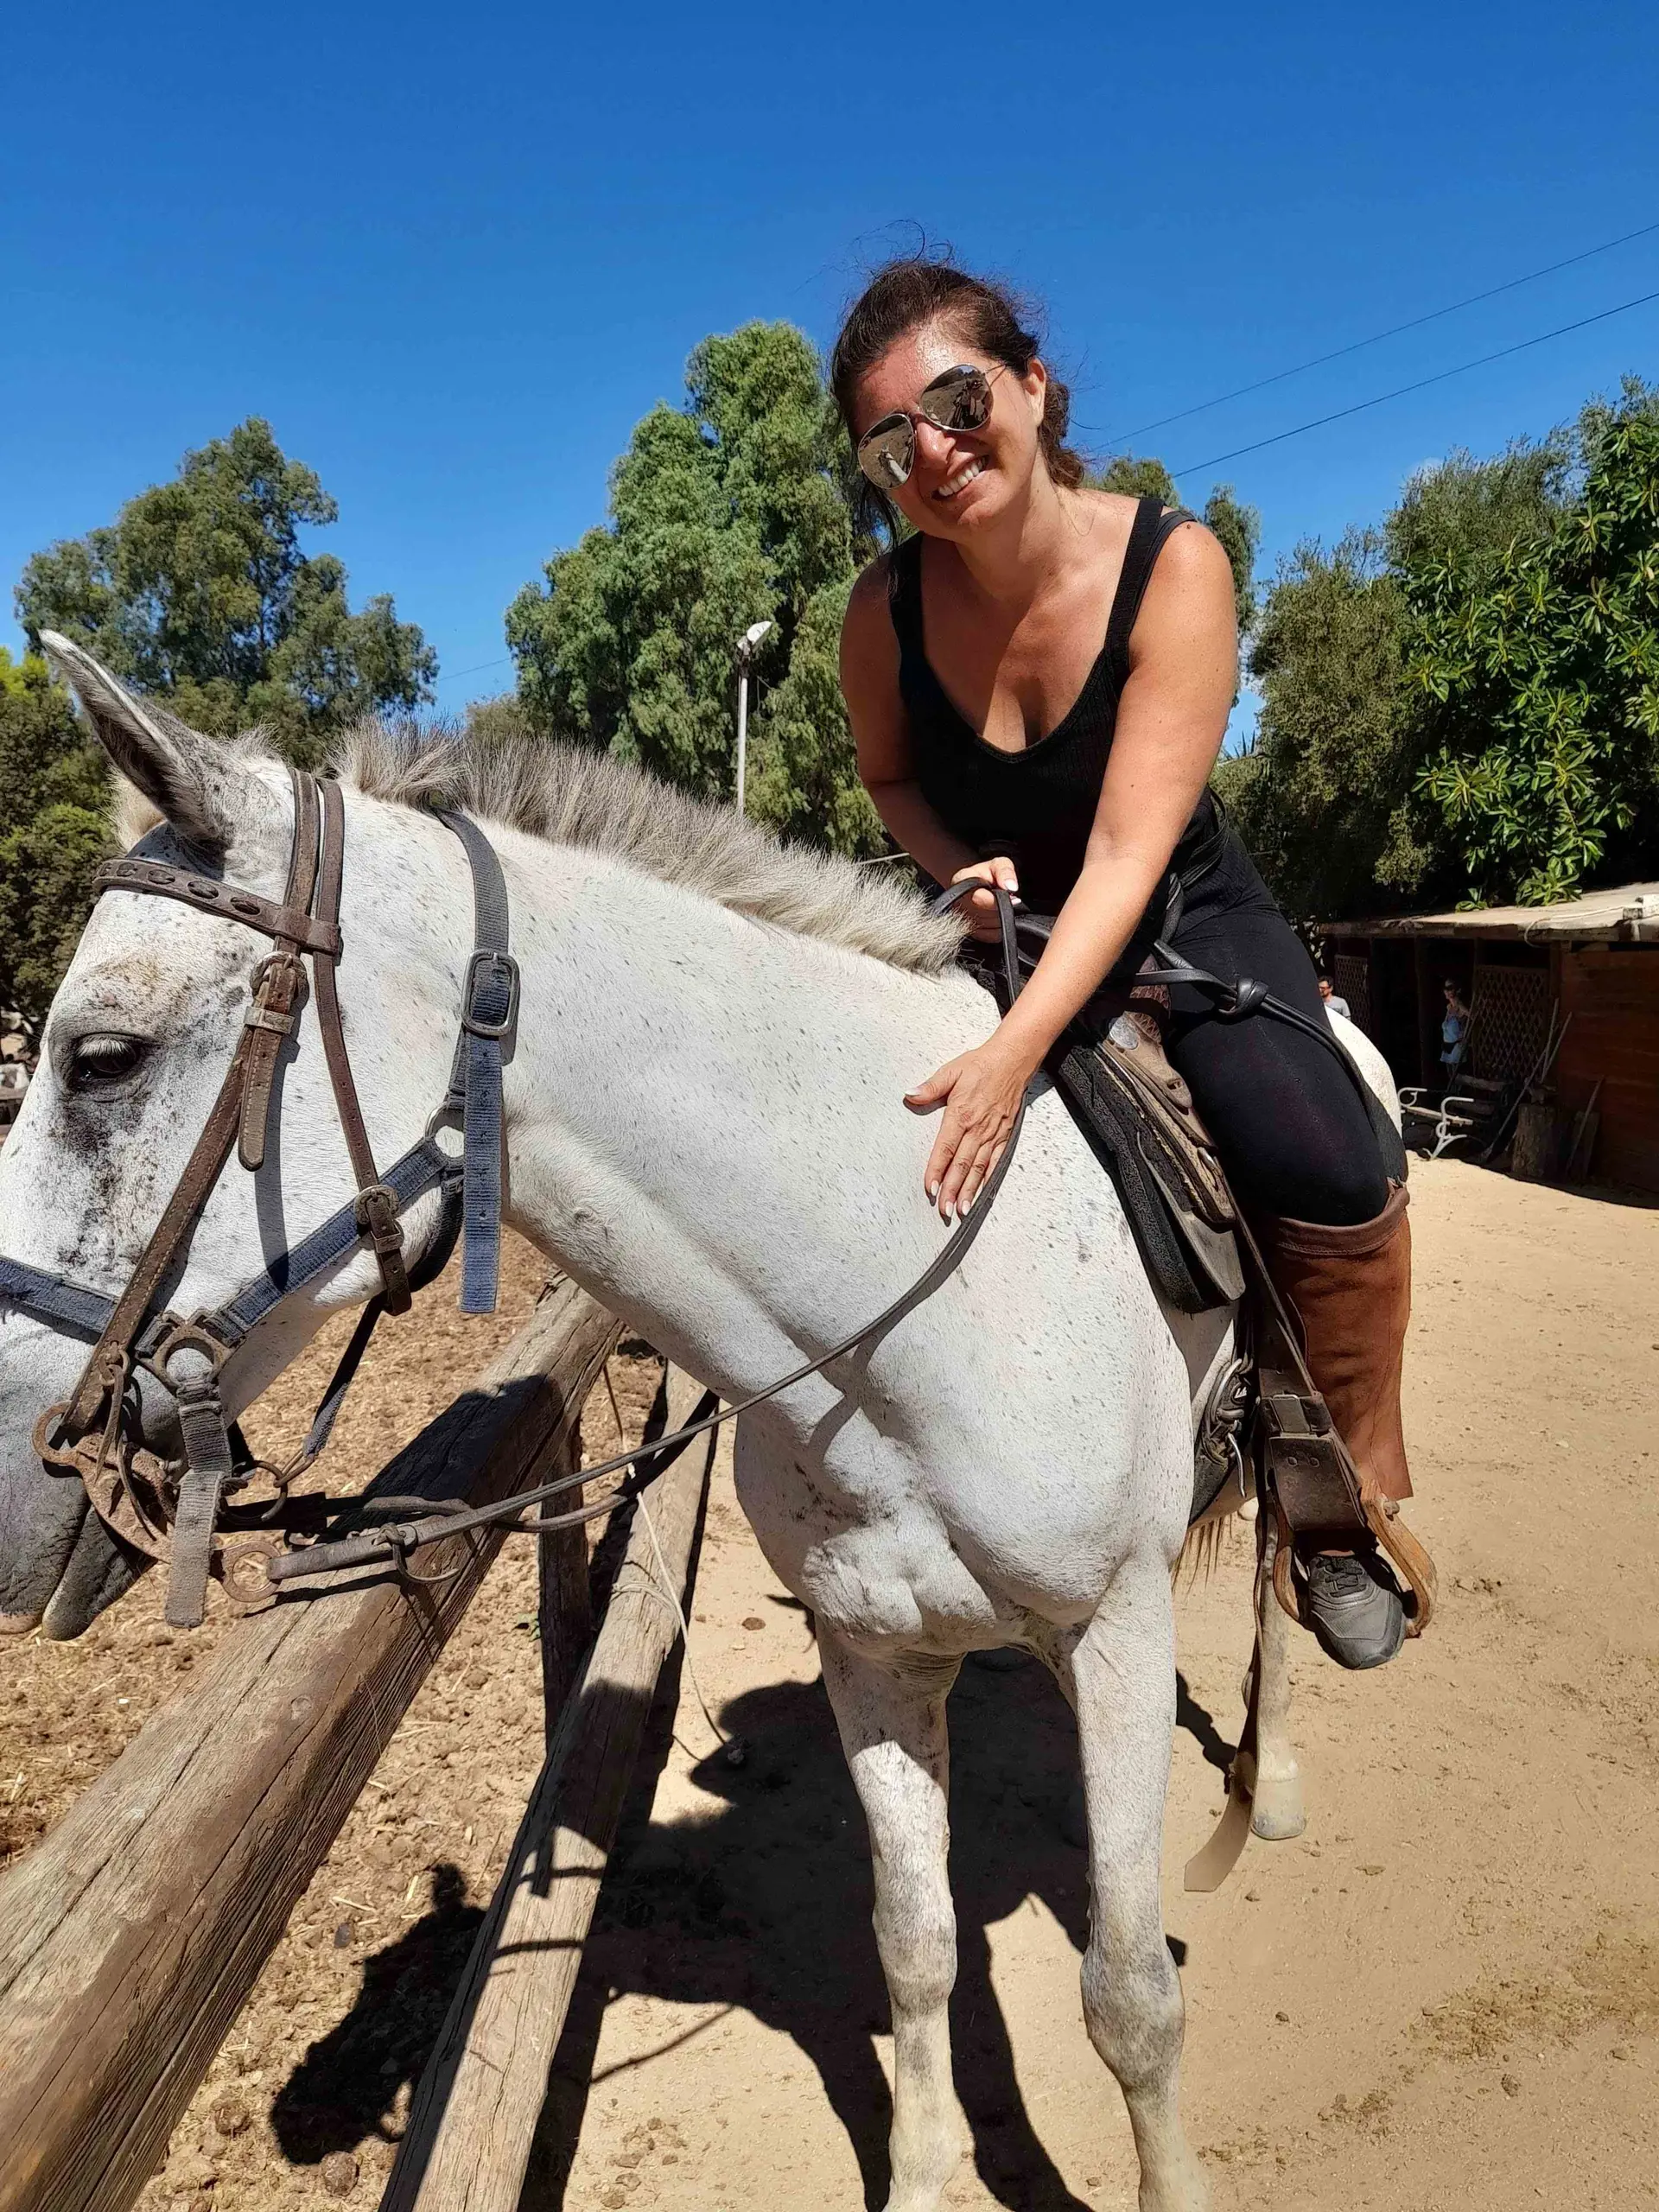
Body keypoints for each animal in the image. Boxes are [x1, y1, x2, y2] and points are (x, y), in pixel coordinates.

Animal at [0, 638, 1398, 2212]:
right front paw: (922, 2176)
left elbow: (1130, 1997)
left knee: (1289, 1562)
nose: (19, 1483)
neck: (915, 1297)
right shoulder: (873, 1649)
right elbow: (915, 1949)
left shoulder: (1114, 1634)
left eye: (102, 1057)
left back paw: (1280, 1759)